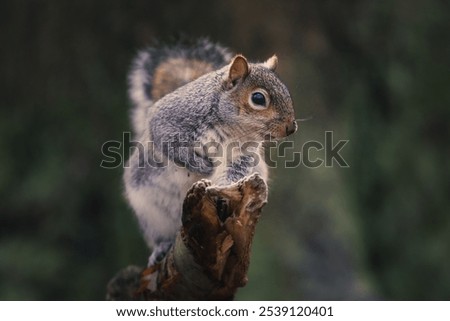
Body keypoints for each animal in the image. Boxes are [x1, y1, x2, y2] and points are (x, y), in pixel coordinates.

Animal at [124, 38, 298, 264]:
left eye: (287, 92)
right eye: (258, 98)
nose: (291, 127)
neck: (232, 127)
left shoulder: (243, 154)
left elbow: (234, 172)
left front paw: (221, 190)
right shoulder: (168, 119)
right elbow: (169, 143)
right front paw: (200, 166)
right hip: (150, 212)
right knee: (160, 235)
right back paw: (161, 247)